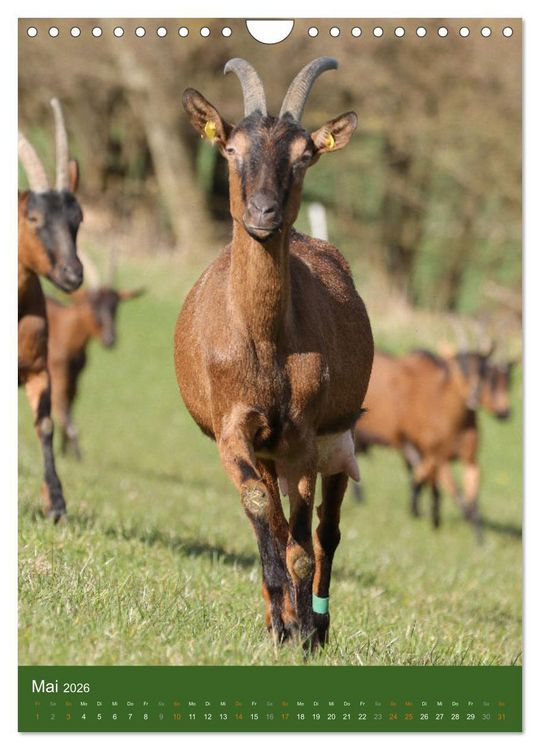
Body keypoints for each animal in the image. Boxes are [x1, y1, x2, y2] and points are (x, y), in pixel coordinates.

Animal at [46, 253, 144, 458]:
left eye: (116, 306)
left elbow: (68, 405)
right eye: (93, 303)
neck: (62, 330)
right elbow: (62, 408)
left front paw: (67, 451)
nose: (110, 339)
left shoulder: (75, 378)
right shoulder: (57, 374)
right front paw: (75, 451)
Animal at [175, 58, 373, 648]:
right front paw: (283, 625)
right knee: (279, 519)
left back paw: (320, 623)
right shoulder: (235, 428)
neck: (264, 343)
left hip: (337, 439)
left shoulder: (303, 436)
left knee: (326, 530)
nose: (263, 213)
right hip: (265, 451)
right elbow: (264, 512)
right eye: (231, 148)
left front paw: (305, 631)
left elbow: (303, 545)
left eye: (305, 154)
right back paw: (280, 616)